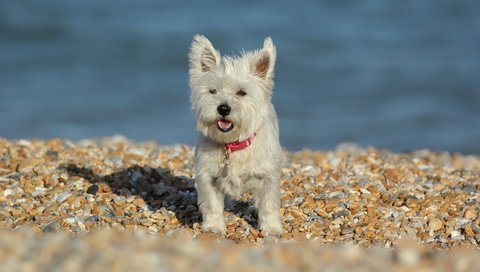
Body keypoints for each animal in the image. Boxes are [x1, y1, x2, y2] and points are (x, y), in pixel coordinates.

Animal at [188, 35, 284, 235]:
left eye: (241, 92)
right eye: (212, 91)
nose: (223, 108)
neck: (232, 145)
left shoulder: (268, 176)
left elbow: (268, 204)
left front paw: (271, 228)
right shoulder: (208, 176)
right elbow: (212, 204)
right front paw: (214, 227)